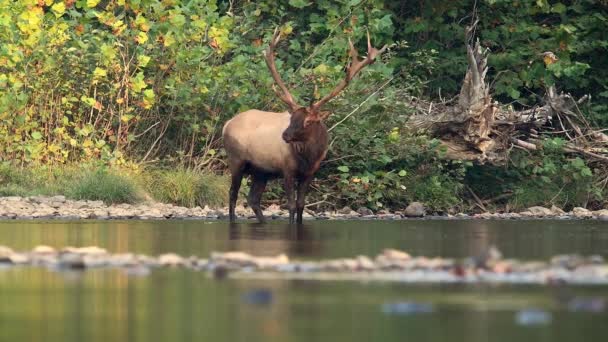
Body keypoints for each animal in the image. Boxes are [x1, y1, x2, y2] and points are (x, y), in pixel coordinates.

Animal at [222, 28, 384, 223]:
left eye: (308, 121)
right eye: (291, 118)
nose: (284, 135)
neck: (309, 157)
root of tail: (226, 124)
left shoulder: (309, 173)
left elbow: (301, 205)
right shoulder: (287, 169)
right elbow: (291, 205)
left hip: (261, 171)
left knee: (253, 199)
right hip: (236, 159)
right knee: (232, 194)